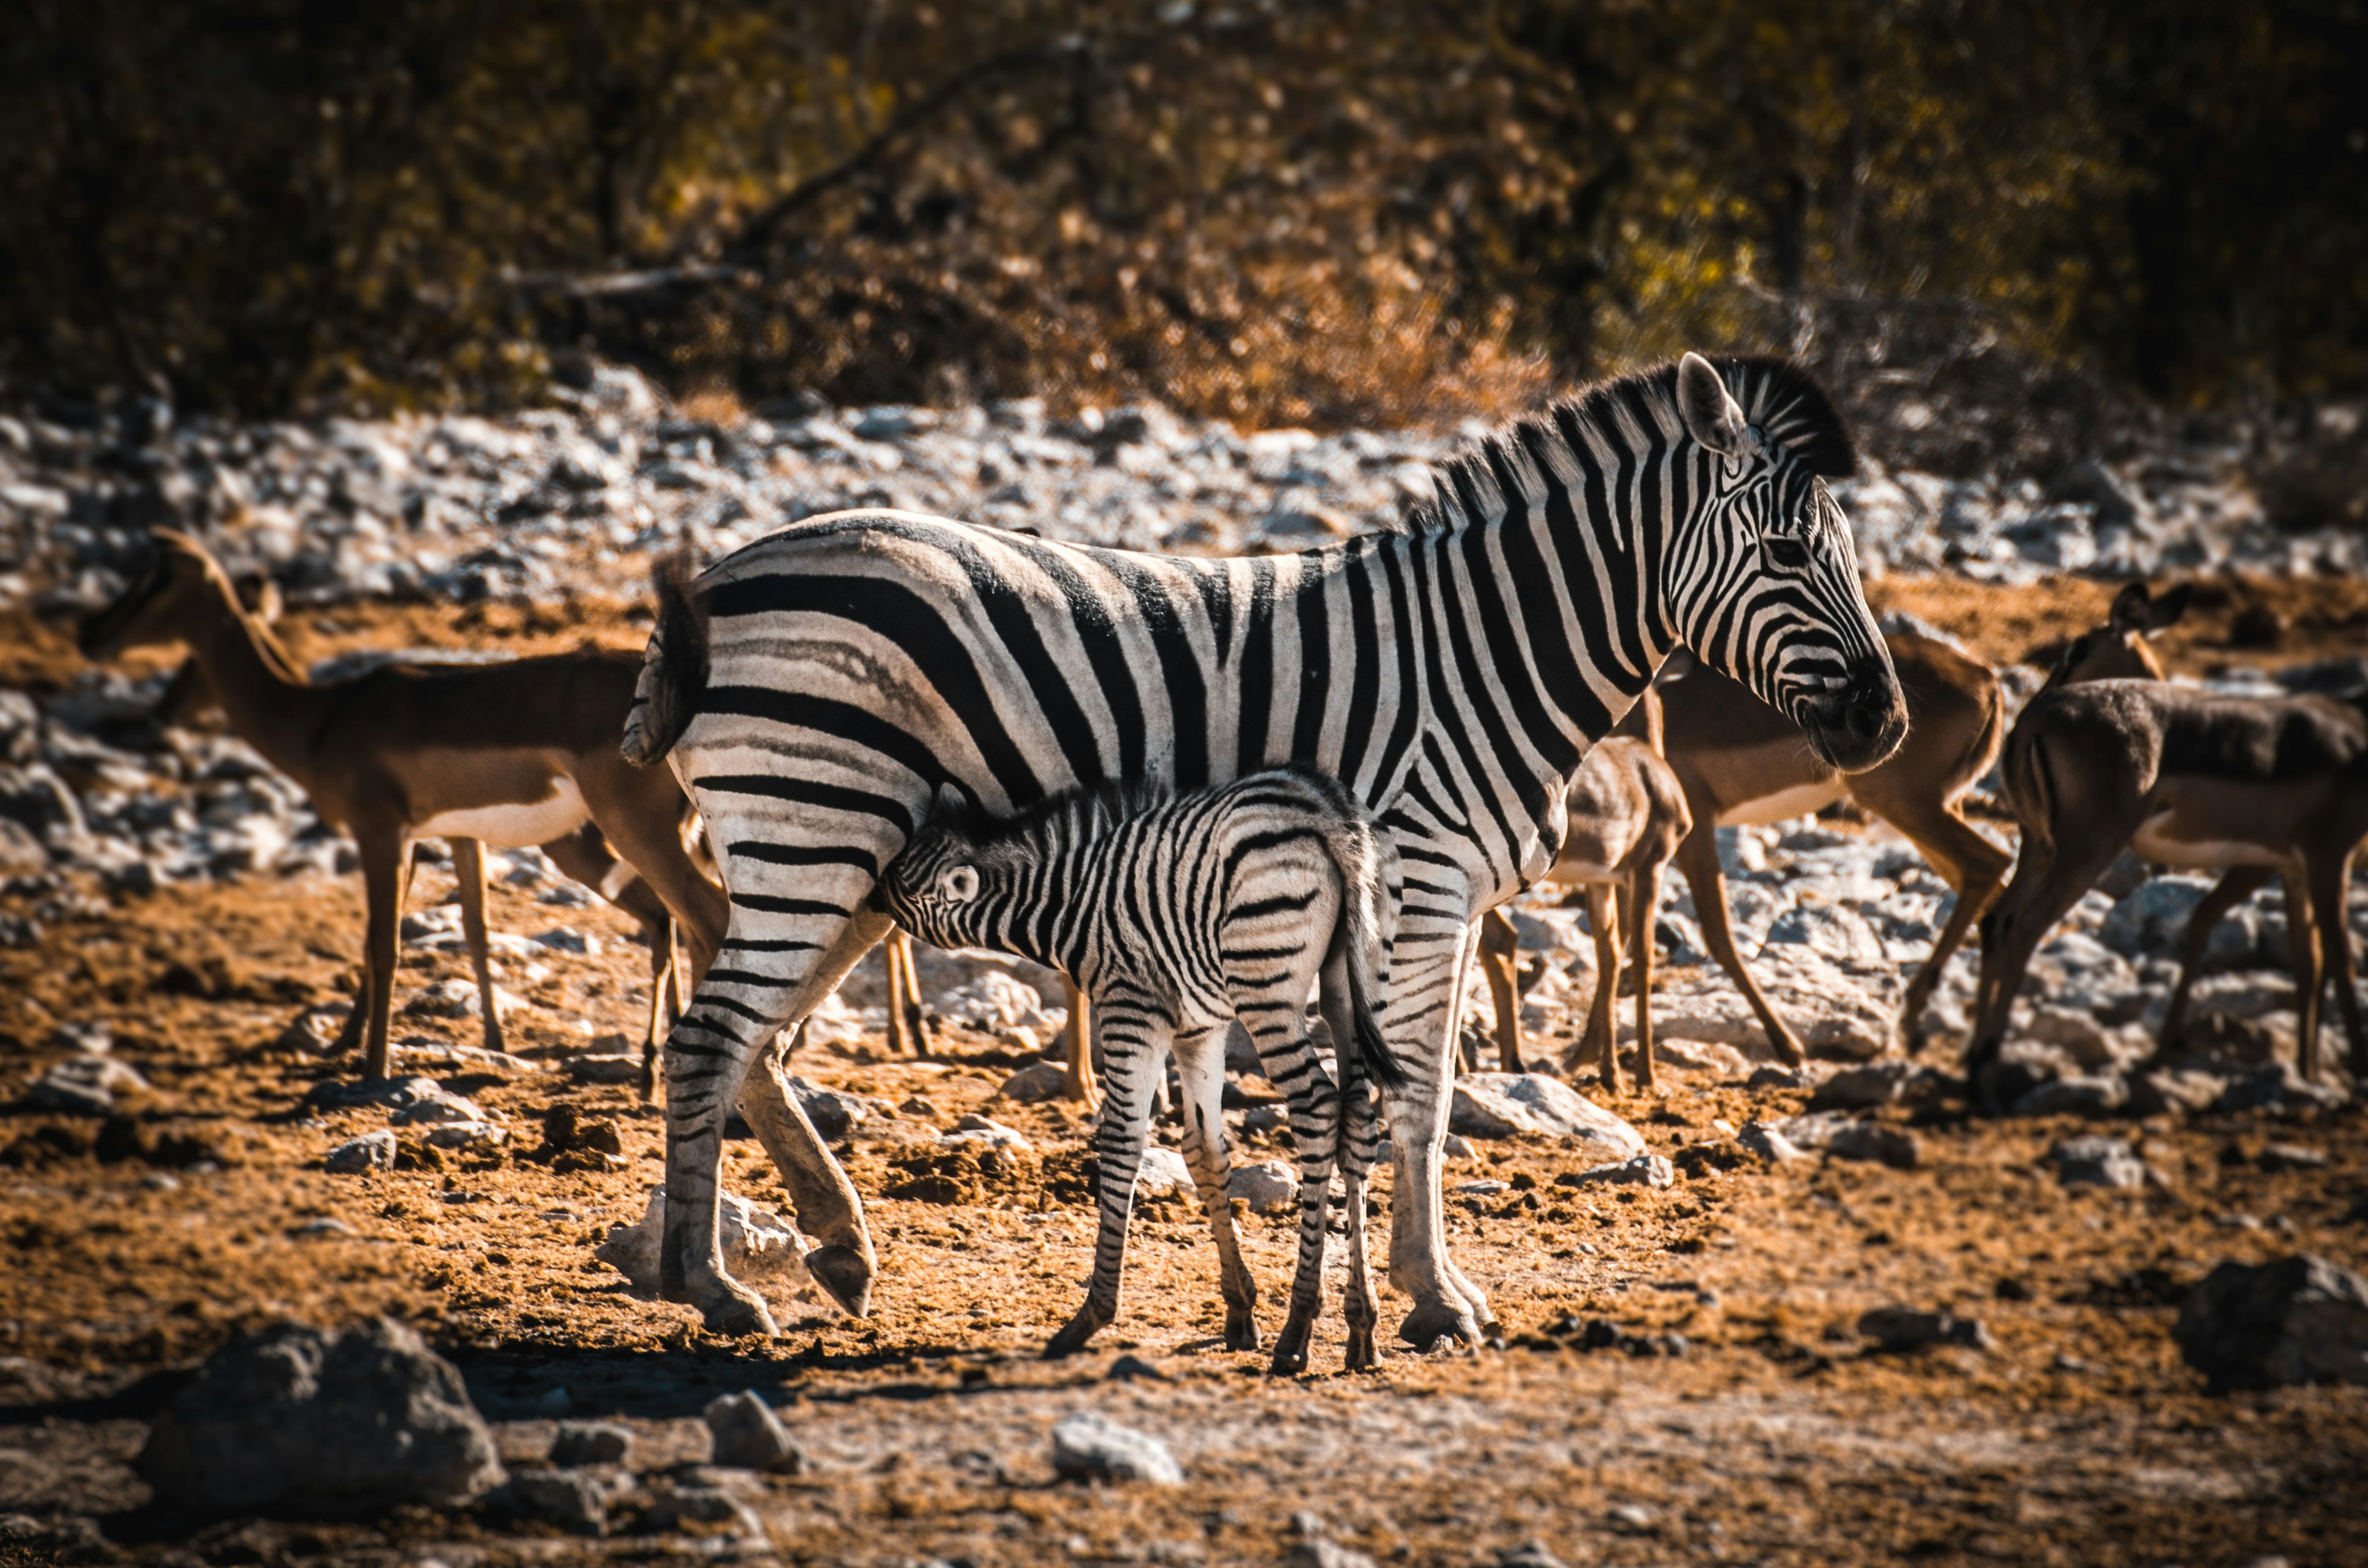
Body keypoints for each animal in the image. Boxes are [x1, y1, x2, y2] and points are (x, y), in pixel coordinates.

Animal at [878, 767, 1399, 1374]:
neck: (1071, 902)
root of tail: (1326, 814)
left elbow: (1121, 1144)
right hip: (1350, 972)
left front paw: (1092, 1315)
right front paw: (1239, 1309)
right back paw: (1361, 1328)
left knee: (1317, 1110)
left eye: (899, 883)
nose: (865, 898)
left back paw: (1297, 1331)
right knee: (1357, 1121)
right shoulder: (1199, 1028)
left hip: (1265, 987)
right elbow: (1204, 1151)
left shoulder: (1131, 1008)